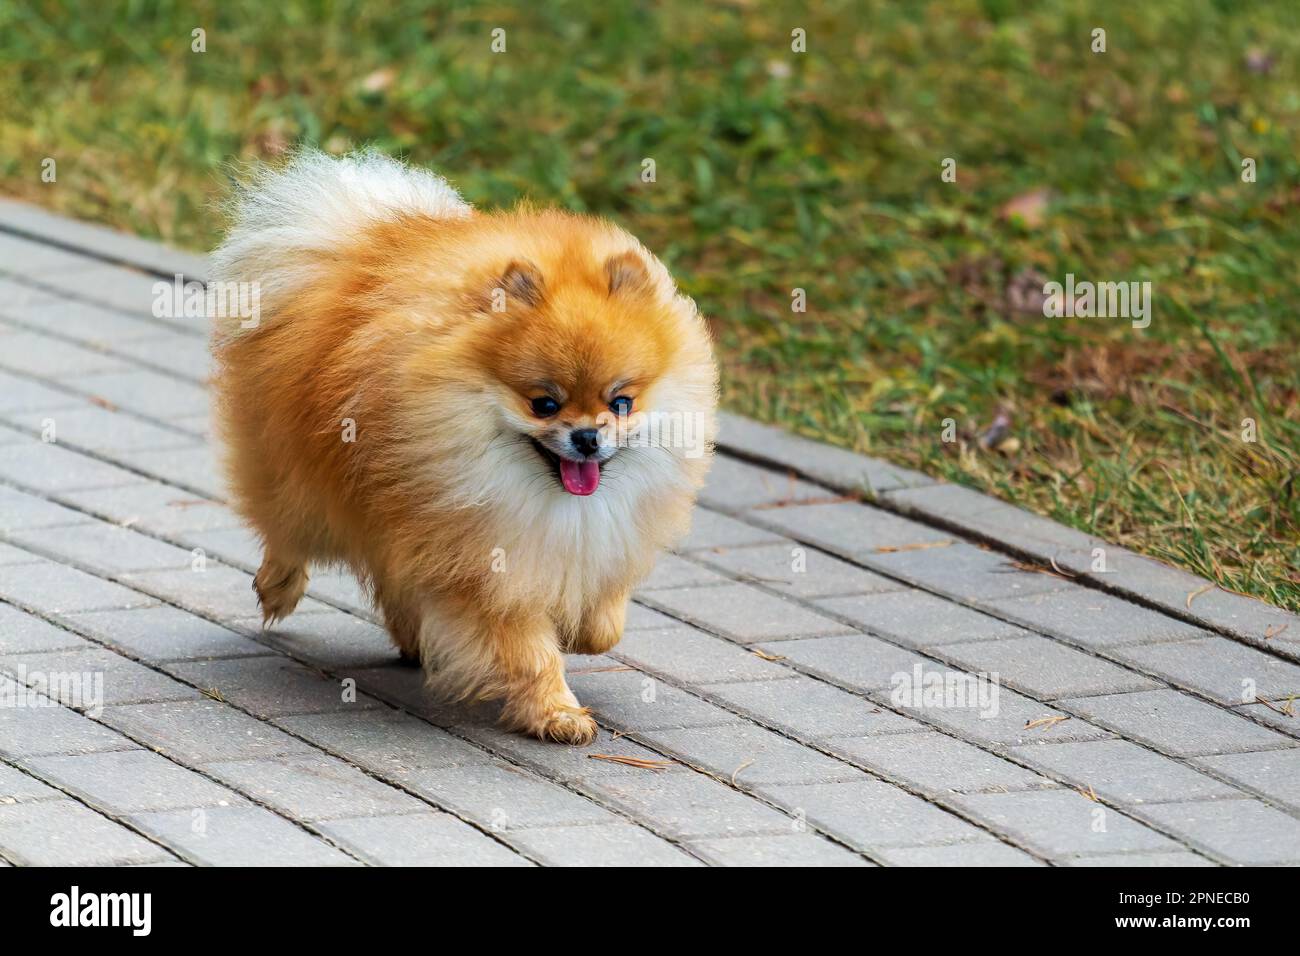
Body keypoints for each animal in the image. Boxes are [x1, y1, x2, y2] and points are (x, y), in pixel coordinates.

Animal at [213, 151, 722, 749]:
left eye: (621, 403)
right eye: (544, 404)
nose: (587, 438)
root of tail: (353, 244)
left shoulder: (596, 537)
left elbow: (605, 617)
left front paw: (582, 633)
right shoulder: (483, 561)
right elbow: (528, 649)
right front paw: (557, 712)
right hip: (300, 477)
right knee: (288, 529)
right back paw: (278, 588)